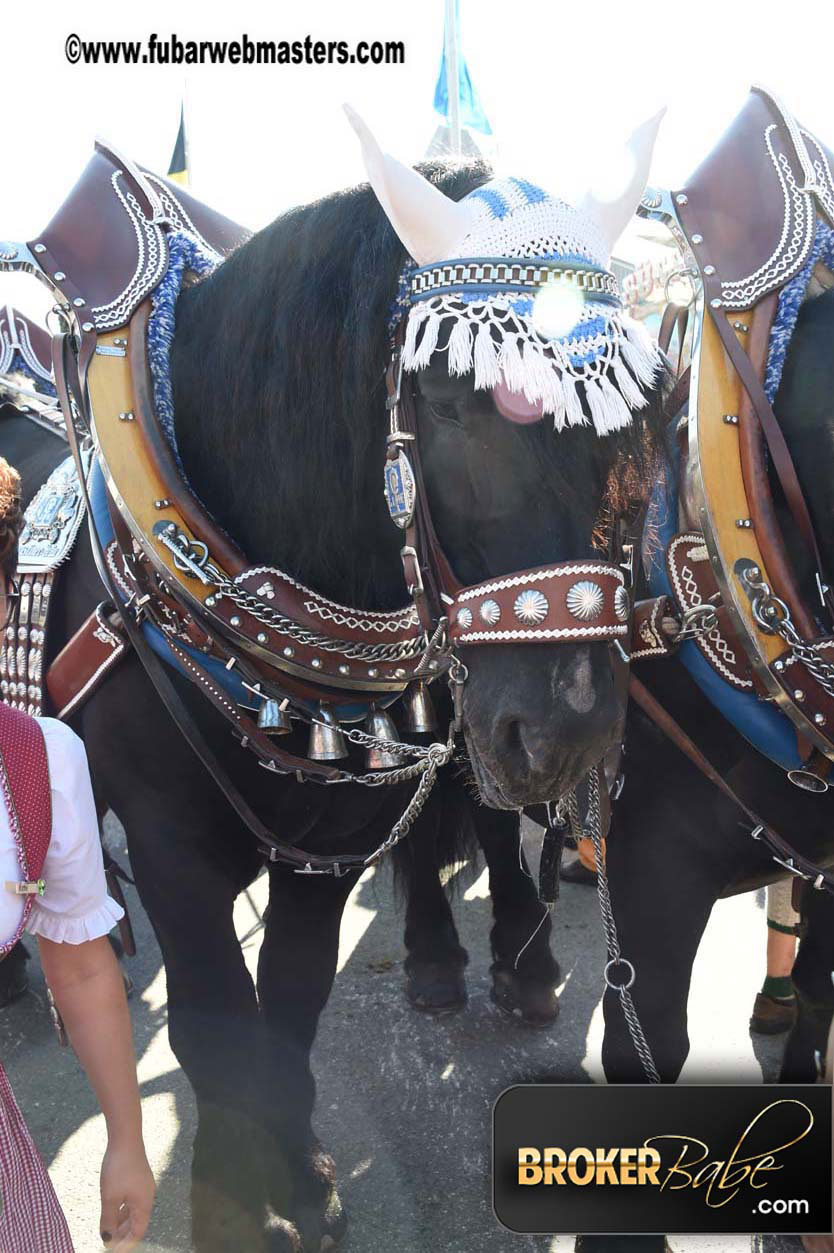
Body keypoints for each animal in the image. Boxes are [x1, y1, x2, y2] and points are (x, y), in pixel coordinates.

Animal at [1, 161, 661, 1247]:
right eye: (450, 398)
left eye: (624, 422)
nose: (572, 729)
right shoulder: (172, 842)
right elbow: (215, 1023)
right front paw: (234, 1198)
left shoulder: (331, 840)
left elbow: (293, 1000)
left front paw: (299, 1175)